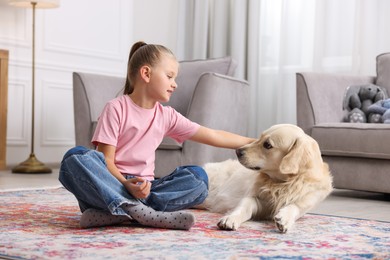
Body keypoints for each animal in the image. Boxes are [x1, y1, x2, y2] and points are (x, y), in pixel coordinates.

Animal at [198, 124, 332, 234]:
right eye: (259, 137)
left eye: (267, 145)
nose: (237, 151)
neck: (281, 183)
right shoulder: (254, 198)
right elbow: (243, 208)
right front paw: (230, 218)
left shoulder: (306, 201)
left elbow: (294, 206)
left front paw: (284, 218)